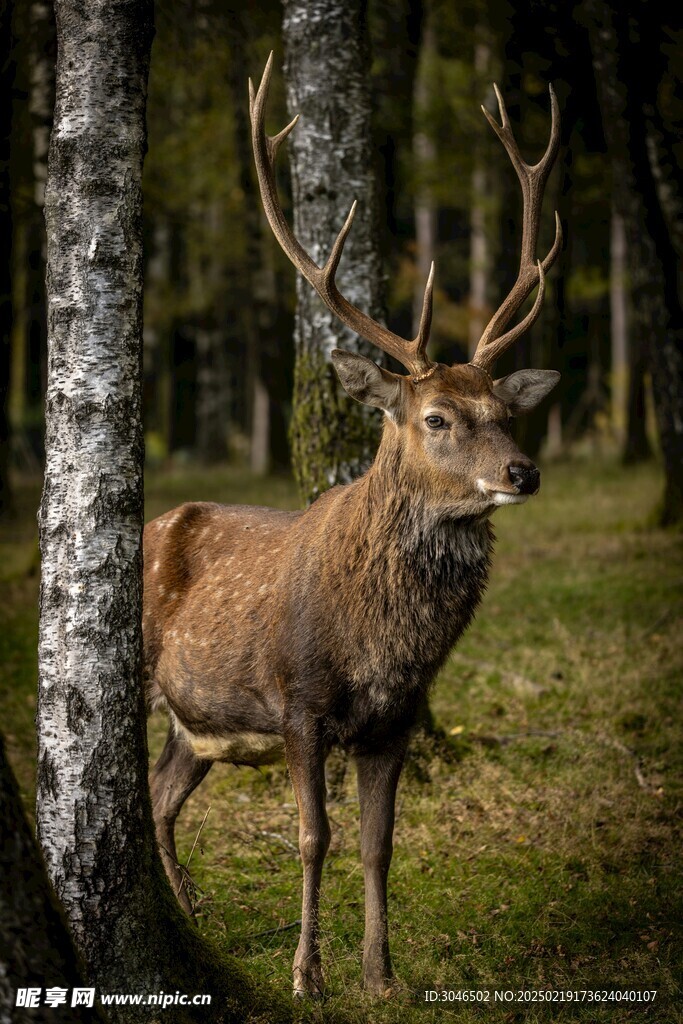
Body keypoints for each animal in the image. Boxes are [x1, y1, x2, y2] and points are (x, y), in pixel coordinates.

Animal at [144, 56, 561, 999]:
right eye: (437, 417)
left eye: (503, 411)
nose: (522, 472)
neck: (381, 645)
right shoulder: (298, 702)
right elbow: (313, 838)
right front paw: (308, 974)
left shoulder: (395, 718)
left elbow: (378, 845)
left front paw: (381, 973)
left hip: (199, 717)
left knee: (158, 789)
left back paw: (191, 911)